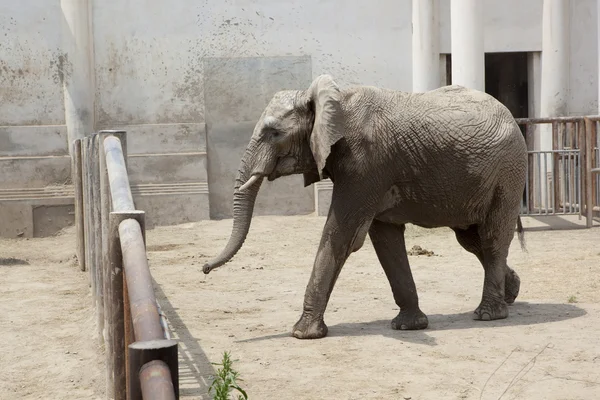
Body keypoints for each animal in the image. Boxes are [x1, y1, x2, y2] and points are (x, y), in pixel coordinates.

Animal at [204, 73, 528, 340]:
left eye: (274, 133)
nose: (204, 268)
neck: (330, 101)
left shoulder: (366, 164)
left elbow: (341, 234)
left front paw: (302, 334)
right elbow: (386, 242)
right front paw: (408, 327)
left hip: (508, 173)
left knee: (491, 238)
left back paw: (488, 315)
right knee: (472, 240)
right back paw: (511, 293)